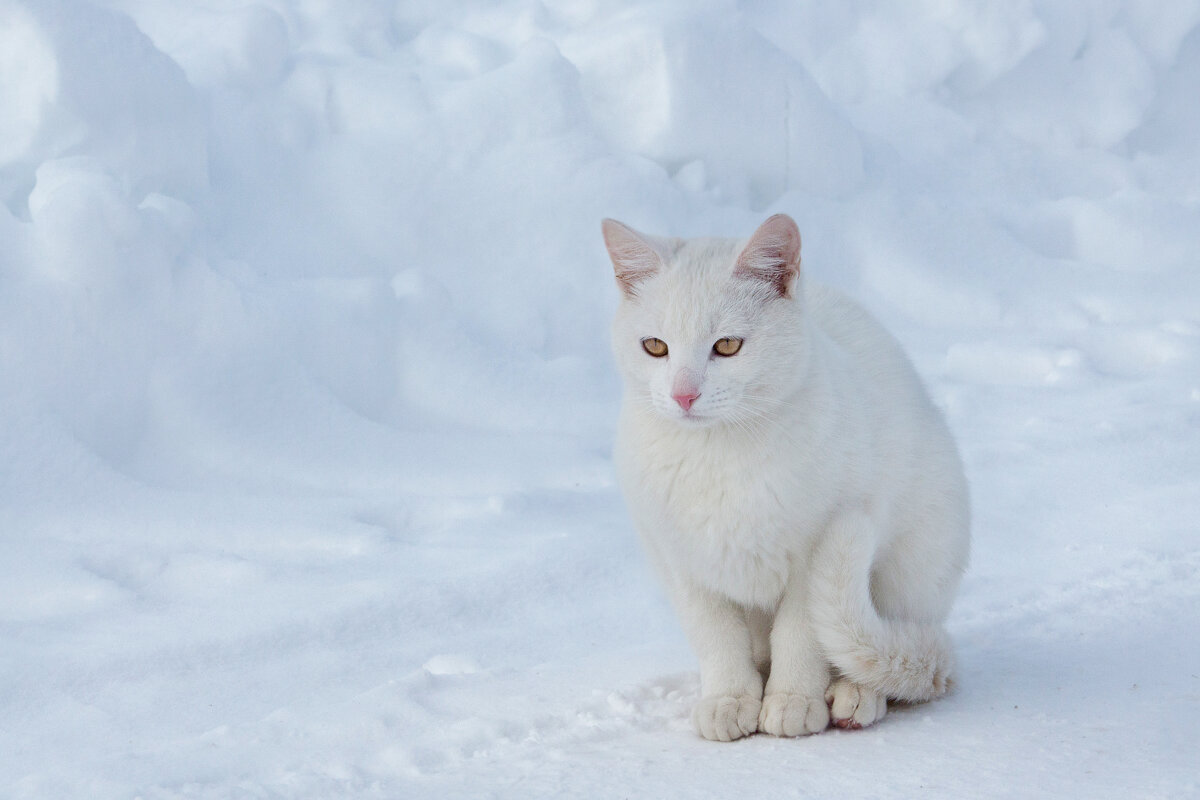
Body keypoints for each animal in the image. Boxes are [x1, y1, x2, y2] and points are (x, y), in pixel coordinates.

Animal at [604, 214, 969, 743]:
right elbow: (718, 638)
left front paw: (793, 700)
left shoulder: (810, 559)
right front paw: (729, 699)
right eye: (655, 347)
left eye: (727, 346)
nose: (683, 395)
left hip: (914, 565)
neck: (719, 459)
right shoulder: (683, 564)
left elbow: (802, 636)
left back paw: (854, 695)